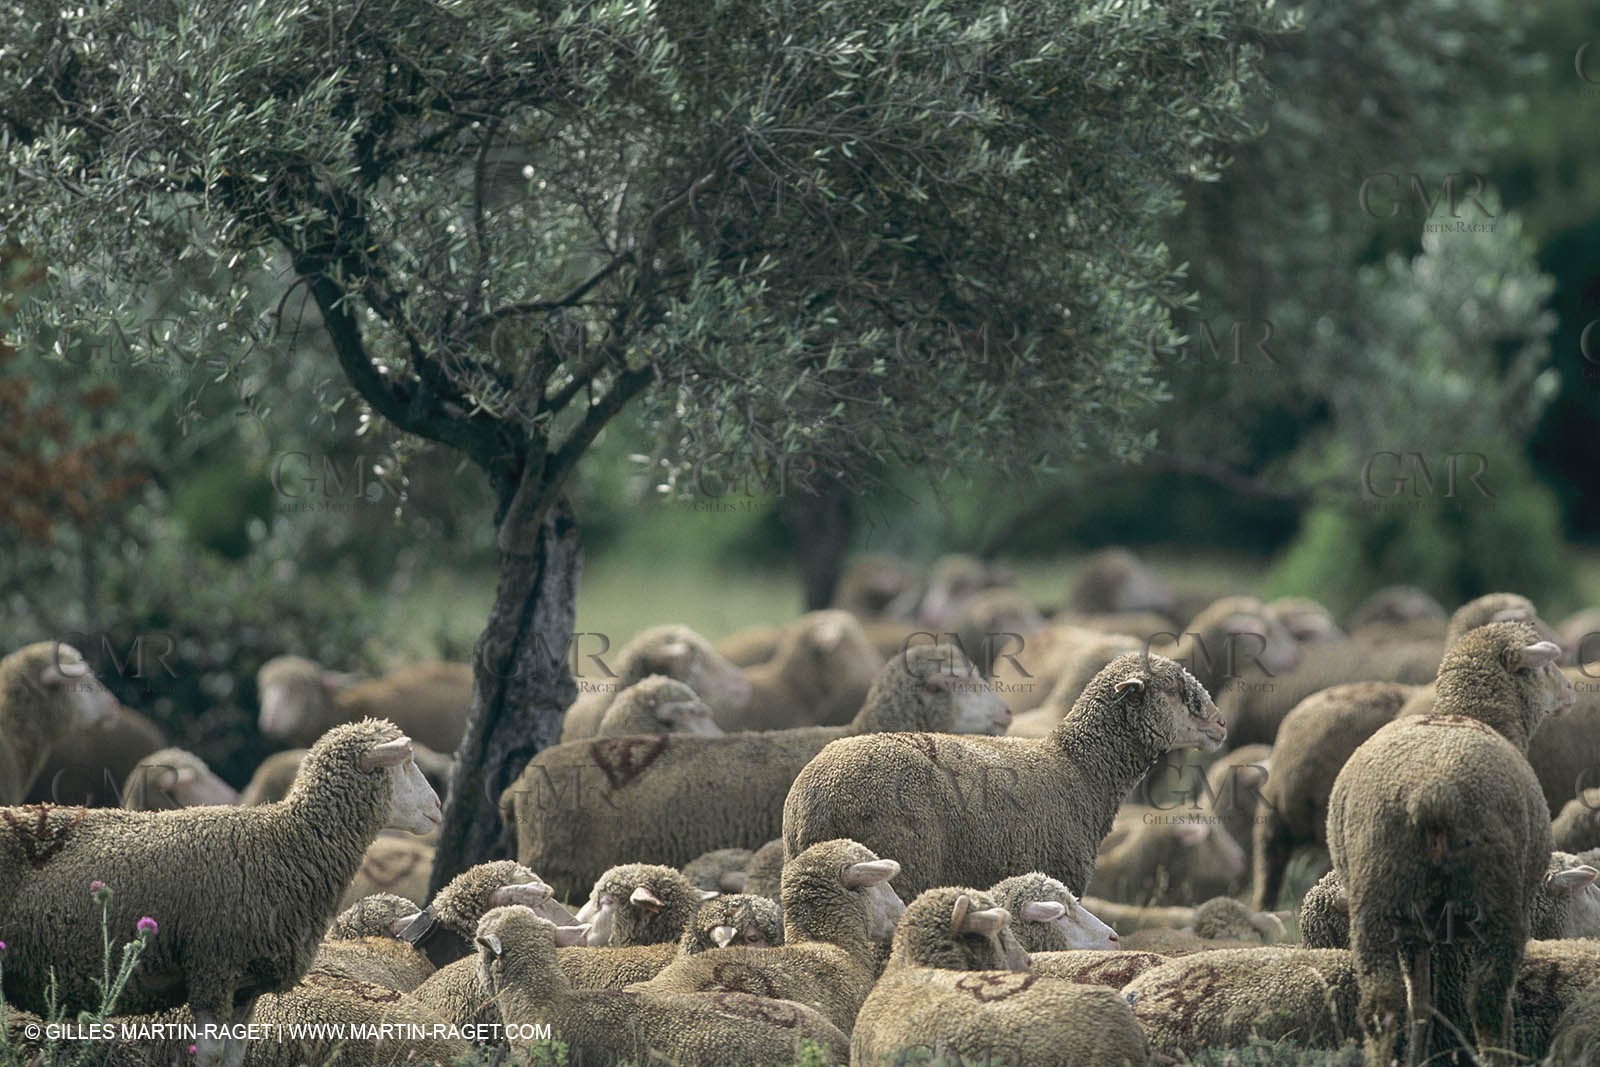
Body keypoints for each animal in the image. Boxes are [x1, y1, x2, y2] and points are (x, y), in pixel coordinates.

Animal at [0, 718, 440, 1067]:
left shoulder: (247, 982)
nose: (437, 807)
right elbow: (209, 1053)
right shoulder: (213, 968)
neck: (284, 845)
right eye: (404, 762)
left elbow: (234, 1054)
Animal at [783, 650, 1227, 900]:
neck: (1078, 769)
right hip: (904, 864)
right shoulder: (1062, 875)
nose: (1221, 724)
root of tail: (814, 798)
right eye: (1176, 690)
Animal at [1327, 622, 1571, 1066]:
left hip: (1376, 896)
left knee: (1382, 1004)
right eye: (1546, 667)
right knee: (1488, 1001)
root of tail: (1433, 790)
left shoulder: (1415, 933)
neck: (1468, 712)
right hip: (1498, 903)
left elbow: (1421, 1002)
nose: (1570, 691)